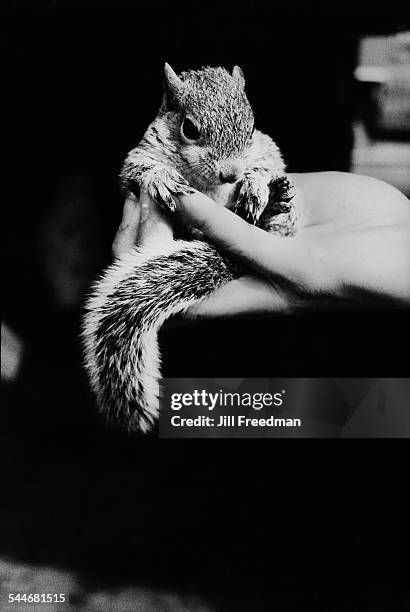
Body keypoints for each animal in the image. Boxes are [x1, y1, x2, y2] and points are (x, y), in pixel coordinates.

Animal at [82, 64, 302, 432]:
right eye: (190, 129)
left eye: (251, 127)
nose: (231, 175)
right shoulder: (140, 155)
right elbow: (138, 170)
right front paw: (160, 176)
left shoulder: (265, 148)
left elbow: (267, 164)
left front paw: (255, 183)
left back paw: (273, 203)